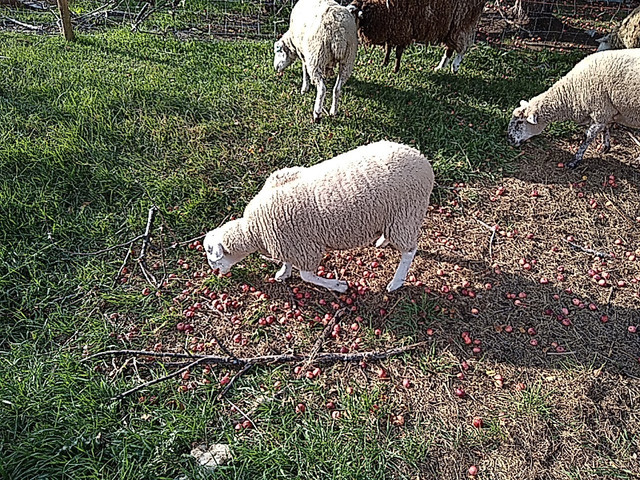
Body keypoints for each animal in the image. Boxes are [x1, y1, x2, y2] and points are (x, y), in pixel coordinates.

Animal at [205, 141, 436, 292]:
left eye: (212, 255)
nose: (216, 272)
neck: (254, 230)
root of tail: (422, 159)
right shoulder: (289, 245)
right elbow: (287, 263)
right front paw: (283, 273)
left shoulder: (305, 247)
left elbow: (307, 276)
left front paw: (338, 285)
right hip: (395, 217)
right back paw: (381, 240)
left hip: (406, 214)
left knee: (409, 252)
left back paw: (396, 282)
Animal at [350, 0, 484, 73]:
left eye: (355, 15)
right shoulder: (393, 28)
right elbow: (388, 47)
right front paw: (385, 63)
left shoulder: (402, 28)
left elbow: (398, 52)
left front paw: (395, 69)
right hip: (452, 25)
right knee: (450, 48)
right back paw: (440, 67)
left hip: (462, 21)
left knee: (462, 46)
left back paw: (455, 66)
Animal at [510, 48, 640, 169]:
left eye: (520, 122)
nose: (509, 140)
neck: (572, 92)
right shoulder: (605, 112)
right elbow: (606, 129)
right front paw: (605, 147)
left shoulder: (599, 111)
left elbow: (588, 136)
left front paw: (575, 160)